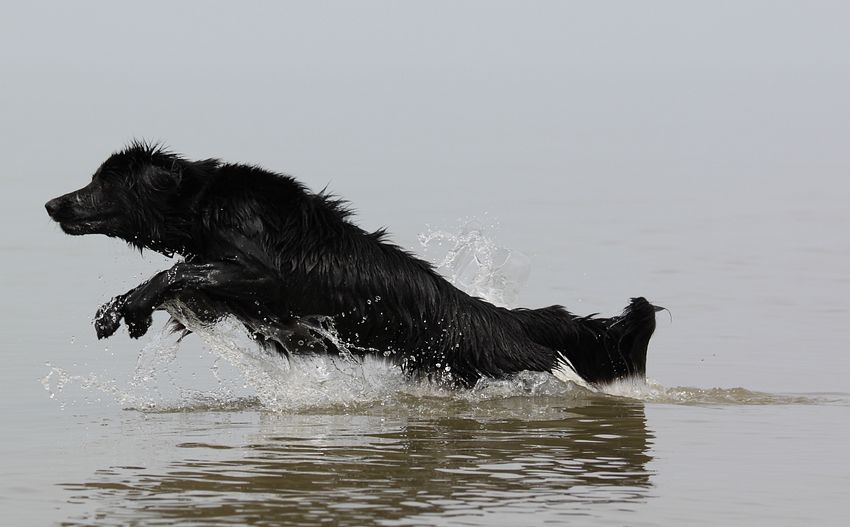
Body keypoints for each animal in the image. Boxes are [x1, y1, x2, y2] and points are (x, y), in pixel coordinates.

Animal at [45, 142, 660, 388]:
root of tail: (500, 317)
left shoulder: (258, 267)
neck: (203, 203)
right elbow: (182, 280)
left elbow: (176, 271)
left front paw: (130, 307)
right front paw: (120, 311)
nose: (52, 204)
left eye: (102, 182)